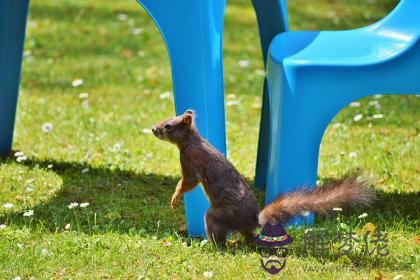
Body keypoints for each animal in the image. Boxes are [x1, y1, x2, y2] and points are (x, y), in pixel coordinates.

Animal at [153, 109, 376, 245]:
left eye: (169, 126)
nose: (154, 129)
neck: (191, 140)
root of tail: (254, 218)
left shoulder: (191, 162)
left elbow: (187, 182)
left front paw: (175, 197)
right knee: (249, 235)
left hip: (218, 215)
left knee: (220, 233)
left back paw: (213, 245)